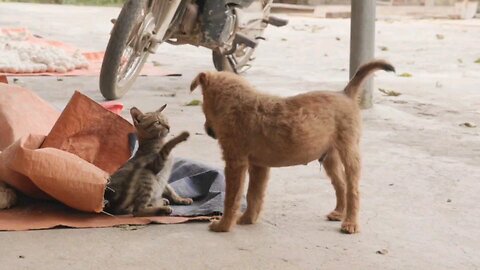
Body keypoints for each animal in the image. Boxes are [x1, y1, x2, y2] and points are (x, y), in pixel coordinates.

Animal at [190, 60, 394, 233]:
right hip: (330, 158)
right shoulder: (258, 166)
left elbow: (232, 198)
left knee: (353, 189)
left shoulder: (235, 162)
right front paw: (248, 219)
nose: (207, 130)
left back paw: (350, 223)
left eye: (203, 106)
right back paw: (338, 213)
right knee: (341, 184)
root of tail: (345, 93)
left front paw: (223, 225)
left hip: (349, 151)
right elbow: (253, 195)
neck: (235, 104)